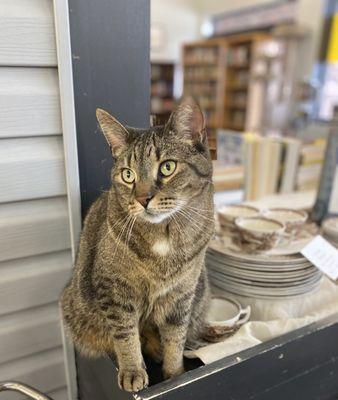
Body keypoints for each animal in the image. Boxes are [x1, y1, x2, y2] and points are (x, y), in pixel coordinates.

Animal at [60, 97, 214, 390]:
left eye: (167, 167)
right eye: (128, 175)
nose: (143, 199)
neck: (164, 234)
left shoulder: (182, 296)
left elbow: (176, 338)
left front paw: (175, 374)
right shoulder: (114, 292)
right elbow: (125, 335)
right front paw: (132, 370)